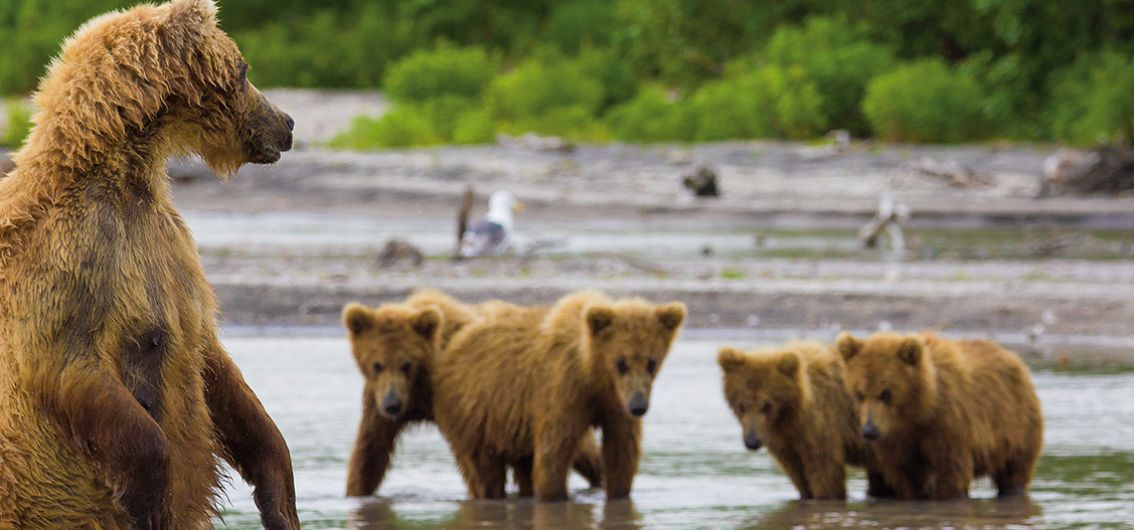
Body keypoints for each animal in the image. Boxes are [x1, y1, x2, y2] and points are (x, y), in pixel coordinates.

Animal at [0, 2, 297, 528]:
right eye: (244, 71)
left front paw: (278, 497)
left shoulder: (171, 250)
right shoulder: (74, 260)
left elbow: (215, 363)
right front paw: (149, 500)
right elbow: (69, 363)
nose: (287, 122)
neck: (128, 177)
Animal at [430, 290, 680, 501]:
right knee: (484, 470)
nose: (639, 406)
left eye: (651, 362)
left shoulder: (614, 403)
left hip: (512, 429)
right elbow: (553, 454)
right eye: (621, 362)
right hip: (477, 413)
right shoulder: (562, 389)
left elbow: (621, 453)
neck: (590, 371)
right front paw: (554, 497)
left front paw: (619, 494)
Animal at [716, 342, 893, 499]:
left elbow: (824, 471)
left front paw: (826, 496)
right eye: (742, 405)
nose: (751, 441)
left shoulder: (821, 424)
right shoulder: (784, 441)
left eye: (767, 405)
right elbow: (799, 475)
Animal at [839, 333, 1038, 499]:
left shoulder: (948, 425)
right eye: (859, 393)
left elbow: (951, 471)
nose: (869, 431)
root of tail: (1013, 357)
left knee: (1014, 471)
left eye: (886, 393)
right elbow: (908, 475)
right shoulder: (897, 440)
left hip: (1016, 426)